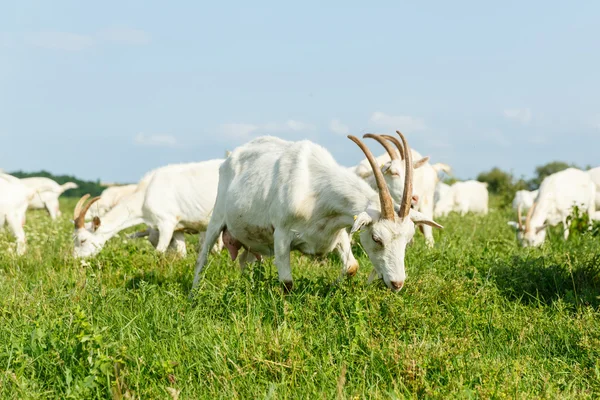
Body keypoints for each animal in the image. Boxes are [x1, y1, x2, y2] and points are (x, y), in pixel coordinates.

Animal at [72, 160, 225, 258]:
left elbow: (158, 252)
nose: (76, 260)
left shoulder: (166, 223)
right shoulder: (178, 228)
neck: (145, 195)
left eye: (83, 240)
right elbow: (182, 253)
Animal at [190, 133, 442, 292]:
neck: (316, 189)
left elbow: (351, 267)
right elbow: (287, 282)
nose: (397, 283)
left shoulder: (337, 231)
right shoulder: (281, 234)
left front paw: (333, 287)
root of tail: (230, 158)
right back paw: (194, 294)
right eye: (376, 238)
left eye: (408, 240)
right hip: (217, 217)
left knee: (245, 260)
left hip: (251, 239)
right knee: (202, 258)